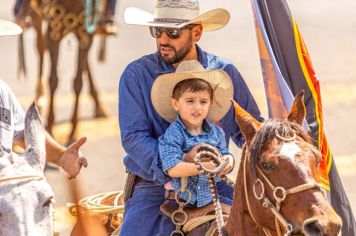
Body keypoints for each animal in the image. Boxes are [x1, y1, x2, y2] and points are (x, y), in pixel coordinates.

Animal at [15, 0, 108, 142]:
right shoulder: (54, 29)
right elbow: (53, 79)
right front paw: (49, 127)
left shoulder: (86, 33)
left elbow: (78, 81)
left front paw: (74, 132)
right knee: (40, 48)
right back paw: (40, 98)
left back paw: (100, 106)